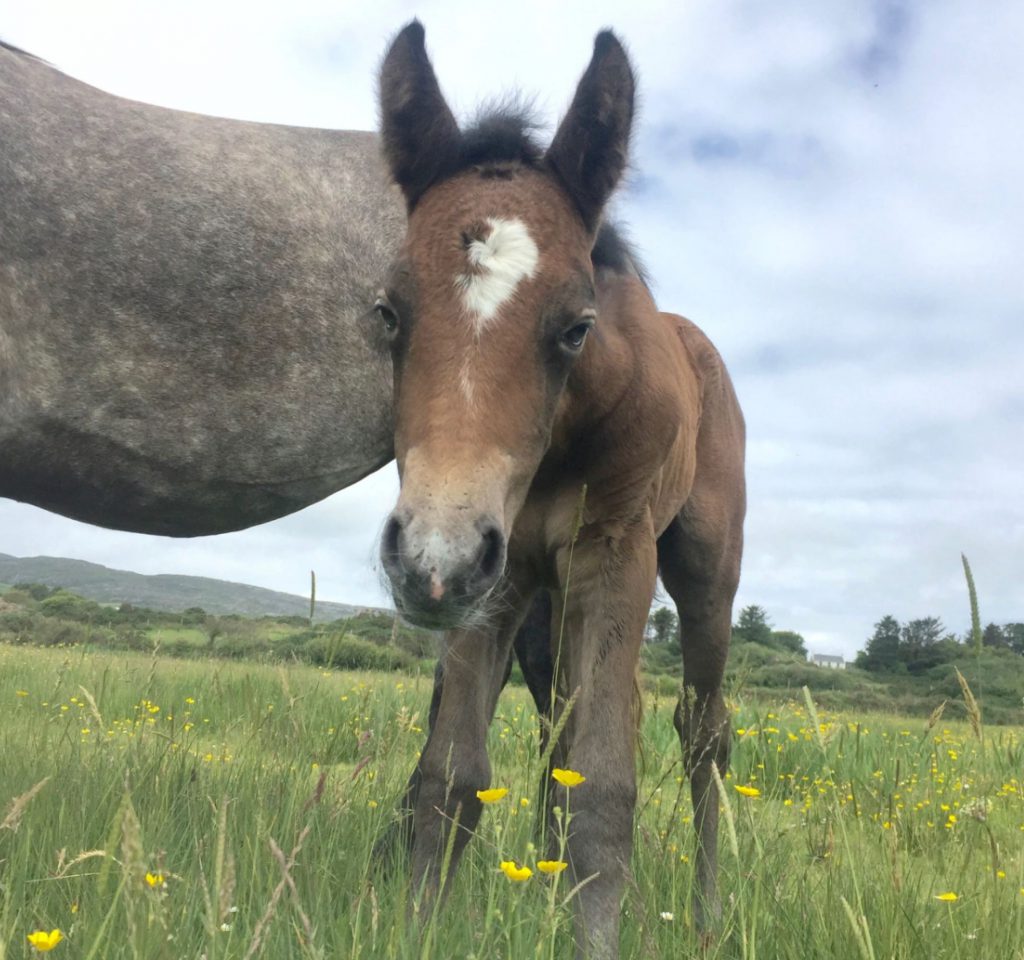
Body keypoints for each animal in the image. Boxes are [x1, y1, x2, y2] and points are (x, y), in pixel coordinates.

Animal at [376, 20, 745, 949]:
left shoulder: (613, 552)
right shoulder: (496, 573)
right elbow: (451, 777)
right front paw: (418, 926)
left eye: (577, 325)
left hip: (704, 571)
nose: (431, 562)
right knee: (557, 720)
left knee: (703, 732)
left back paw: (707, 915)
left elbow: (606, 787)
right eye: (386, 313)